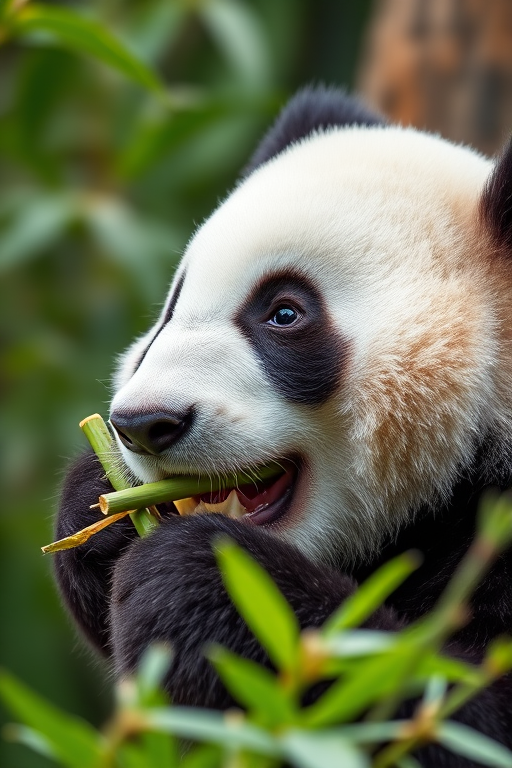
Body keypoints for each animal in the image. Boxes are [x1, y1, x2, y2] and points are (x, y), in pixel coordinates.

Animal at [55, 86, 512, 765]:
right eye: (169, 312)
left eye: (285, 313)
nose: (146, 423)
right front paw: (98, 507)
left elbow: (445, 716)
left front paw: (198, 578)